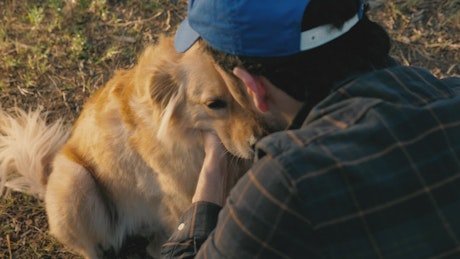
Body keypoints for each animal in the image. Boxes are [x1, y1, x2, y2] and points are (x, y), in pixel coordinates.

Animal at [0, 37, 266, 259]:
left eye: (246, 90)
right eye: (214, 104)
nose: (259, 140)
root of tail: (44, 184)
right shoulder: (179, 197)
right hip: (75, 179)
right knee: (90, 248)